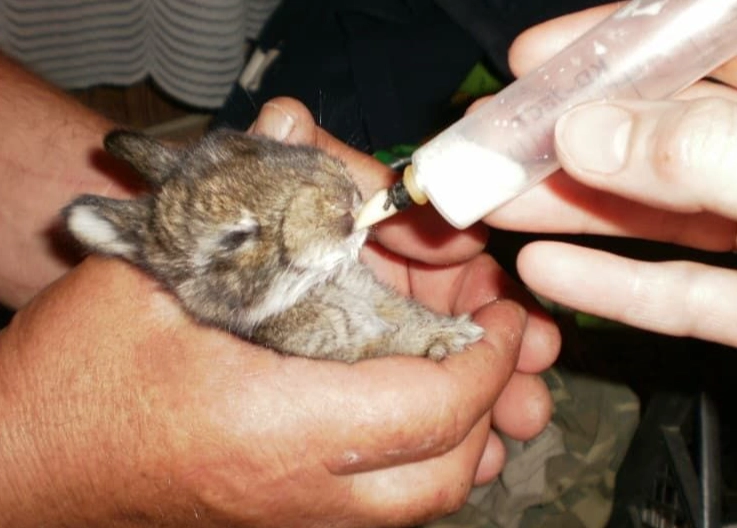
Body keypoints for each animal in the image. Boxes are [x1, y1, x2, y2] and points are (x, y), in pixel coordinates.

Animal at [62, 129, 484, 362]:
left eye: (262, 145)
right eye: (234, 238)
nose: (342, 197)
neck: (313, 288)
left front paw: (449, 326)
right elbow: (383, 345)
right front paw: (449, 338)